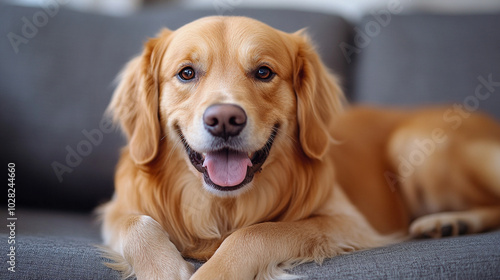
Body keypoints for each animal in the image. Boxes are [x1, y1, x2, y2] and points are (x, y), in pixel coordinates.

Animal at [99, 15, 500, 280]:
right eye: (186, 73)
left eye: (263, 72)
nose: (225, 119)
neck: (222, 206)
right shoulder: (118, 210)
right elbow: (138, 225)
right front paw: (166, 271)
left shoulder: (347, 221)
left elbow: (259, 232)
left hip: (412, 143)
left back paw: (448, 221)